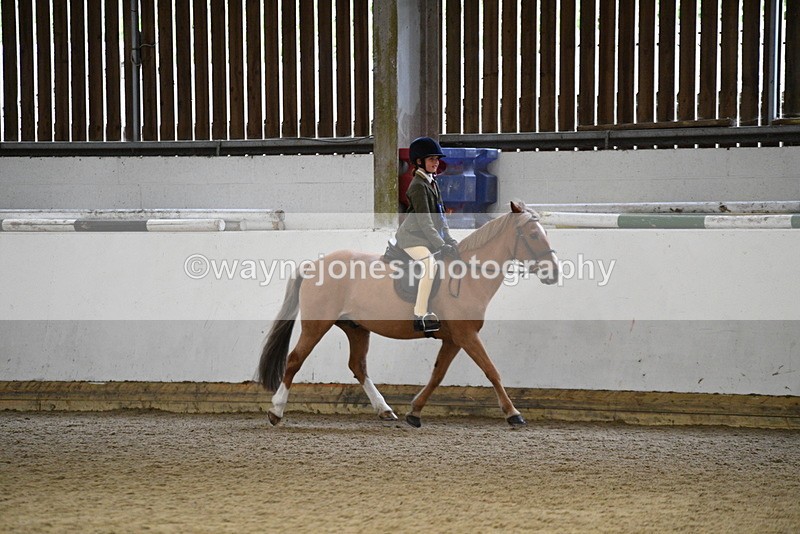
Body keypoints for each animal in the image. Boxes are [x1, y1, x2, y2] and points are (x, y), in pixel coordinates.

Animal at [257, 200, 559, 427]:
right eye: (534, 235)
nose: (553, 272)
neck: (469, 275)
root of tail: (312, 265)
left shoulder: (453, 339)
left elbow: (437, 375)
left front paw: (414, 412)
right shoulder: (467, 335)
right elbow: (491, 370)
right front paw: (514, 414)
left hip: (356, 327)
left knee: (358, 366)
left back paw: (385, 410)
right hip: (316, 325)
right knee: (295, 360)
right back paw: (276, 411)